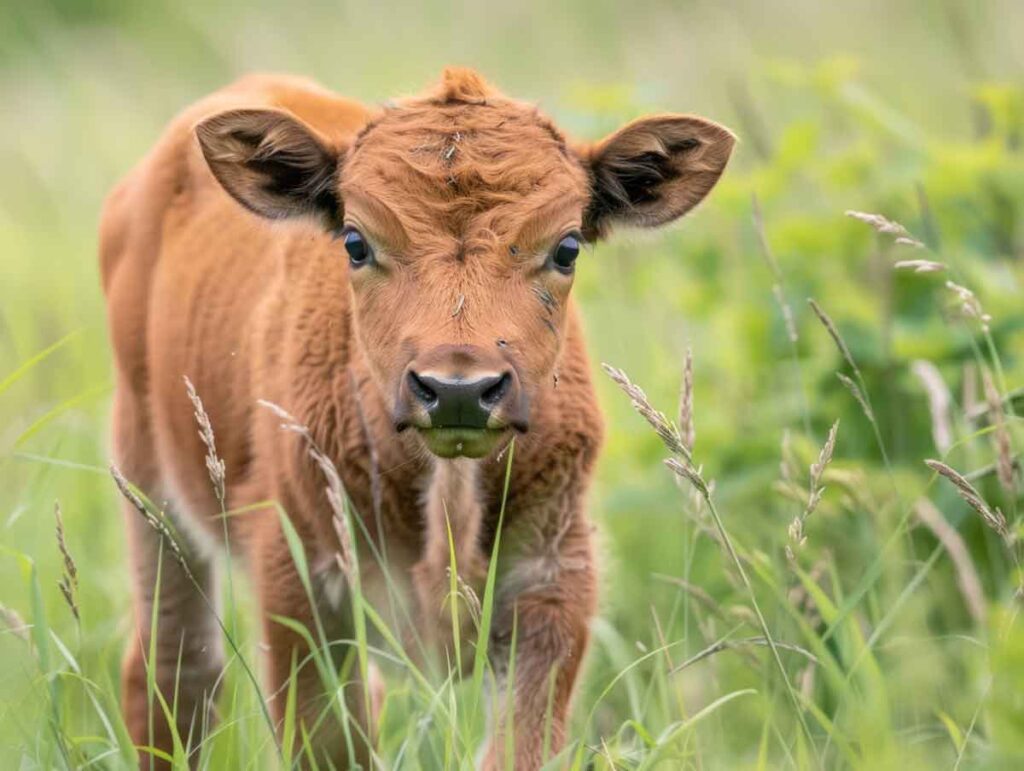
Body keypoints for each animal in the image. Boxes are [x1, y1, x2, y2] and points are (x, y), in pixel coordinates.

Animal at [99, 69, 733, 765]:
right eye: (355, 243)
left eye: (566, 248)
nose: (458, 389)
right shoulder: (301, 579)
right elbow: (325, 740)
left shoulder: (552, 582)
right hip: (151, 496)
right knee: (176, 675)